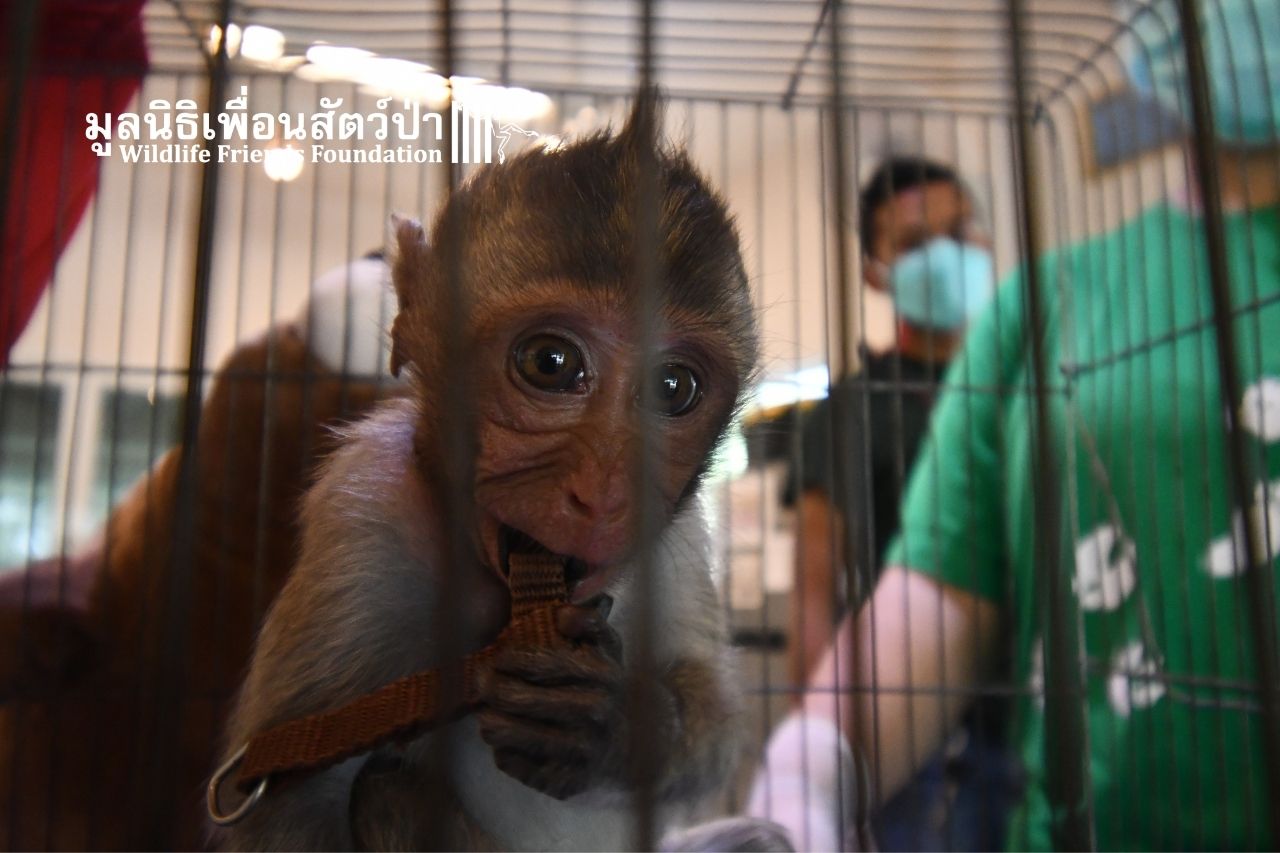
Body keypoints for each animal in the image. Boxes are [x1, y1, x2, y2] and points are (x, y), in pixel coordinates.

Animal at [211, 95, 763, 851]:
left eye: (673, 386)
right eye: (550, 363)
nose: (606, 494)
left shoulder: (674, 539)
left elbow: (716, 712)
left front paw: (617, 722)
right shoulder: (362, 522)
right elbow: (286, 806)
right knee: (388, 791)